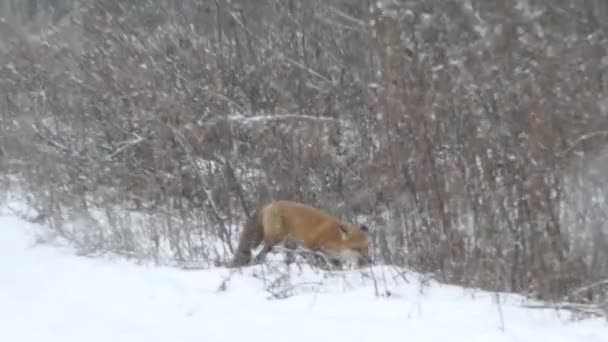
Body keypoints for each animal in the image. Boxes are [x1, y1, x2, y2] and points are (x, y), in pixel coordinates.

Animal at [229, 199, 368, 268]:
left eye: (367, 248)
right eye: (357, 248)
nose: (369, 260)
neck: (335, 239)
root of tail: (268, 205)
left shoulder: (333, 257)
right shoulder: (315, 249)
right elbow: (322, 264)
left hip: (291, 244)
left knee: (288, 258)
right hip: (274, 241)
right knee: (260, 255)